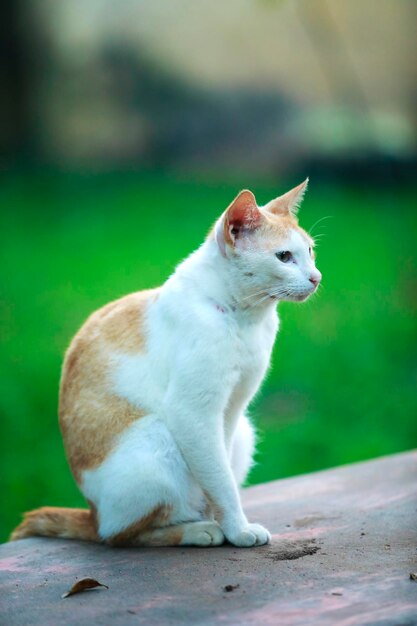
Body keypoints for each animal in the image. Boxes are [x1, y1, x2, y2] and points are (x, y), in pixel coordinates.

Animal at [11, 179, 320, 544]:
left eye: (310, 252)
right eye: (284, 257)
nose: (316, 277)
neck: (246, 318)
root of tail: (91, 513)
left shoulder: (230, 410)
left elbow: (219, 474)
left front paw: (226, 523)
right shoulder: (192, 414)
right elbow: (220, 481)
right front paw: (237, 529)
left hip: (243, 430)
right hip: (157, 437)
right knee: (122, 534)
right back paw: (197, 530)